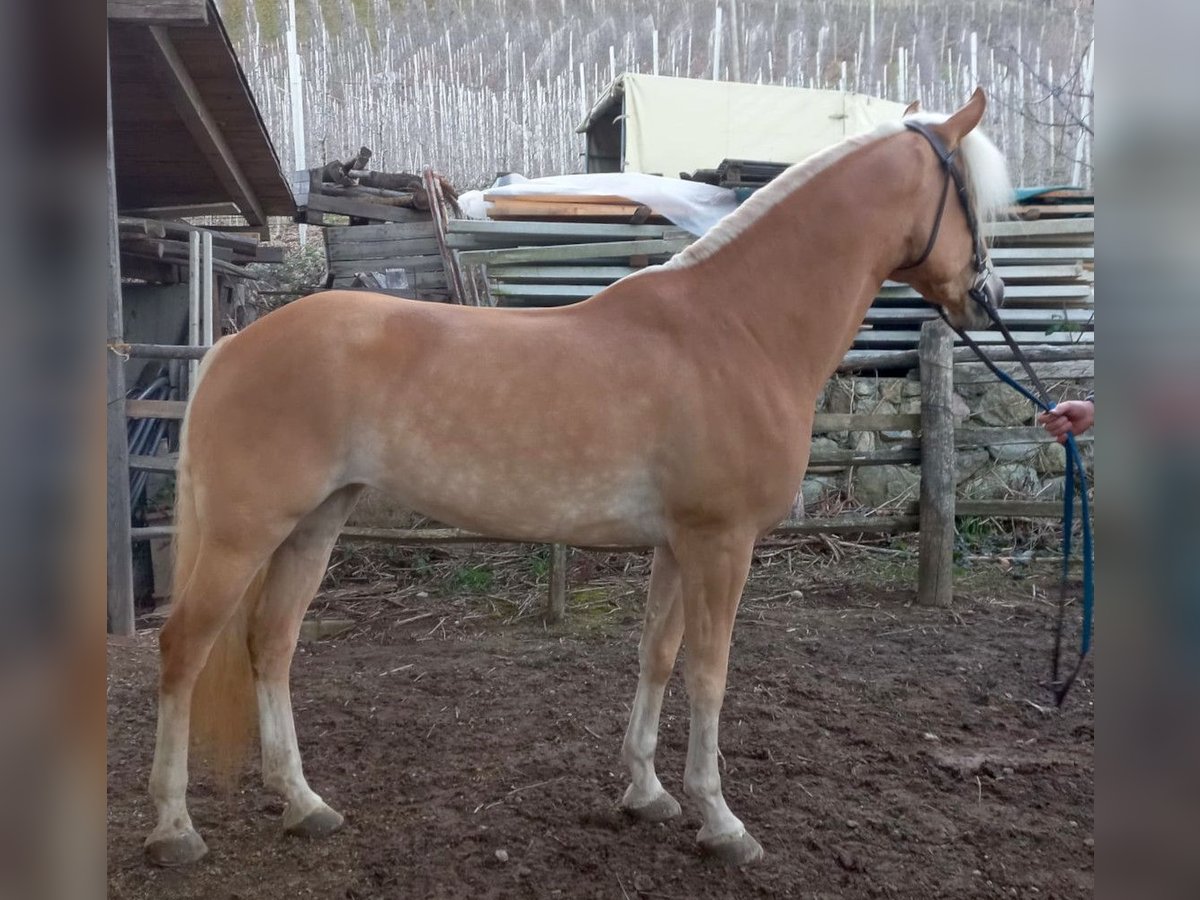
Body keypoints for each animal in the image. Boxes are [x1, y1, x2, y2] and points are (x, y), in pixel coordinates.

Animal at [145, 90, 1012, 868]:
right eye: (969, 199)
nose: (988, 295)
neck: (737, 328)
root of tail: (234, 345)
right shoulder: (722, 544)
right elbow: (709, 673)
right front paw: (722, 822)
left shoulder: (679, 545)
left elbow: (657, 654)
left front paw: (647, 792)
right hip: (245, 533)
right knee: (184, 648)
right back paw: (174, 830)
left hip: (315, 525)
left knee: (271, 643)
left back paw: (304, 805)